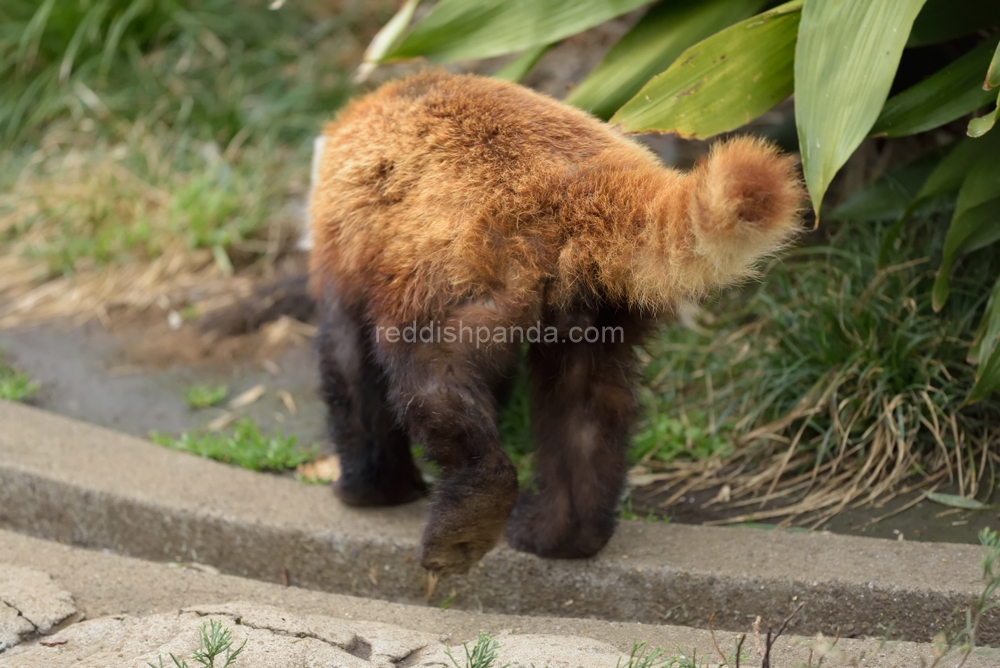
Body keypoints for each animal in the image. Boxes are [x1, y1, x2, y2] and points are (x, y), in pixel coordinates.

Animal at [308, 72, 800, 576]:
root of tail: (576, 185)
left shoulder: (346, 251)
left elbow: (349, 370)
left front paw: (370, 490)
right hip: (598, 306)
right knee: (586, 409)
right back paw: (561, 536)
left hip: (463, 278)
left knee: (433, 381)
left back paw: (469, 516)